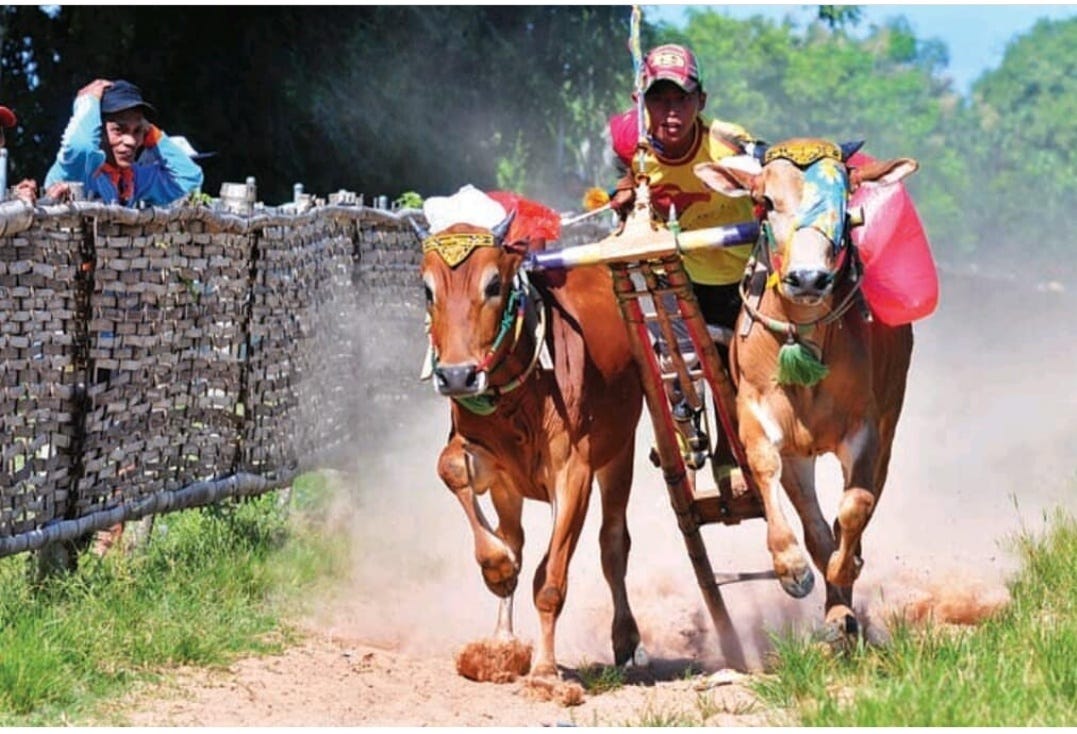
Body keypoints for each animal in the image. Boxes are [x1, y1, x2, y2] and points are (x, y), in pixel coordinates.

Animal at [417, 199, 637, 675]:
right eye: (427, 291)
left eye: (493, 284)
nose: (457, 376)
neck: (522, 394)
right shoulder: (487, 463)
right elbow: (453, 473)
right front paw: (497, 569)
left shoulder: (575, 474)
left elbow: (549, 581)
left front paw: (546, 670)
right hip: (508, 490)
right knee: (514, 535)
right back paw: (501, 641)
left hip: (620, 456)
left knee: (613, 545)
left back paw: (626, 639)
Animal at [697, 138, 917, 632]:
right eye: (766, 201)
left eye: (845, 205)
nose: (808, 278)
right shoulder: (765, 421)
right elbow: (772, 477)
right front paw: (792, 568)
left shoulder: (865, 427)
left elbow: (855, 505)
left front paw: (843, 572)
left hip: (891, 417)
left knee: (866, 498)